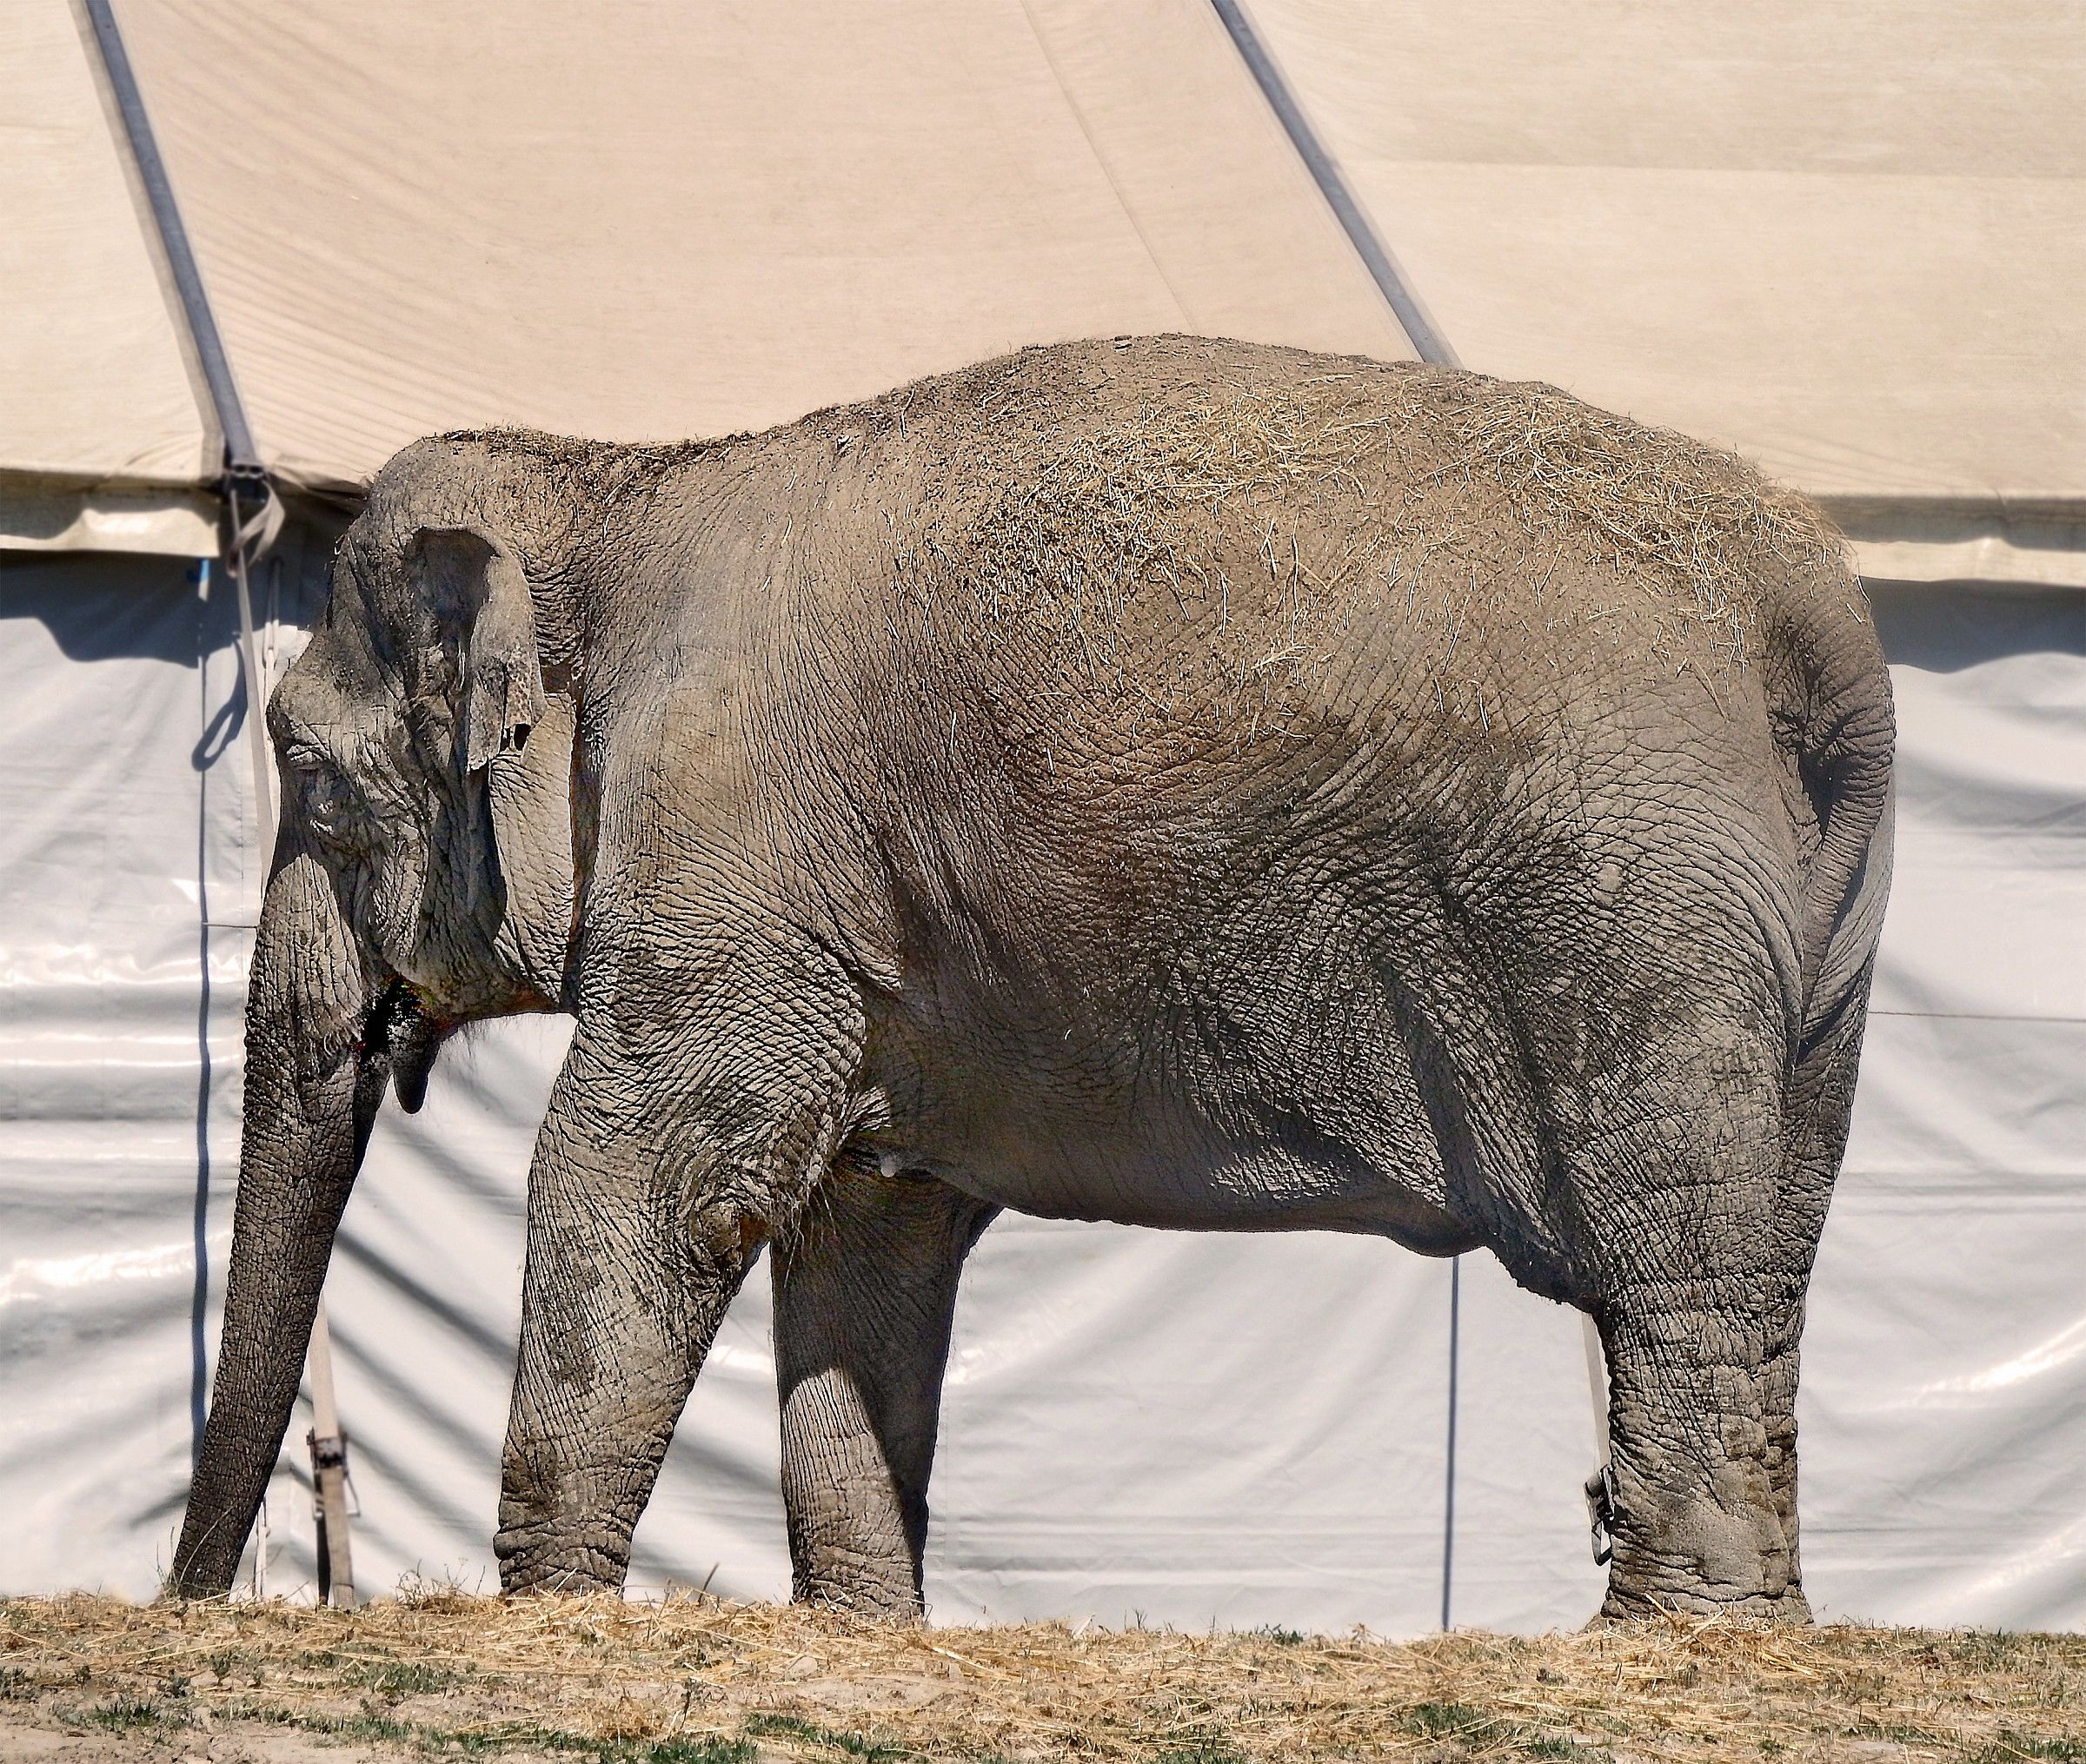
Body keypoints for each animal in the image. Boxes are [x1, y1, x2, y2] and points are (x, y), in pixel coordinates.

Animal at [168, 335, 1893, 1622]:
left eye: (302, 770)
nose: (192, 1604)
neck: (626, 477)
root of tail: (1816, 615)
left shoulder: (734, 842)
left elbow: (651, 1172)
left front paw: (551, 1617)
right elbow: (864, 1225)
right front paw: (864, 1632)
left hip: (1625, 916)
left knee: (1672, 1267)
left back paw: (1671, 1640)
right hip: (1811, 956)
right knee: (1769, 1254)